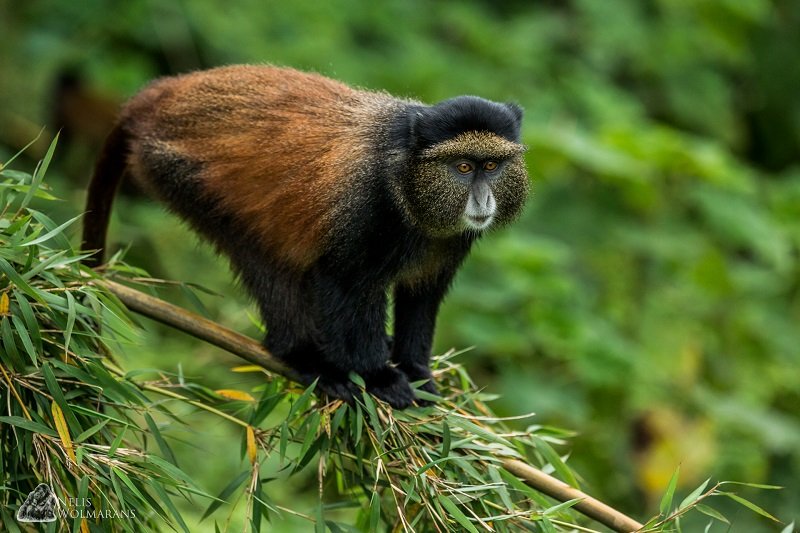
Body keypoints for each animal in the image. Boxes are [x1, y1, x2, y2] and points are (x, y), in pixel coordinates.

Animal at [83, 65, 532, 408]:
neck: (405, 177)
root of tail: (156, 97)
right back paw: (304, 357)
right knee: (267, 261)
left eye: (491, 166)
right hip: (181, 176)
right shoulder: (365, 212)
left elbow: (421, 296)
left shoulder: (448, 244)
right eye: (462, 167)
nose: (483, 200)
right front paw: (379, 377)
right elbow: (342, 285)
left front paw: (417, 372)